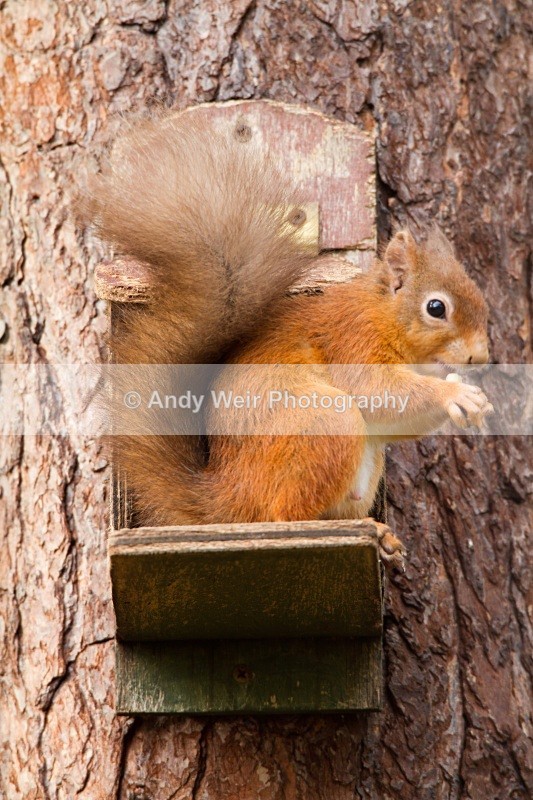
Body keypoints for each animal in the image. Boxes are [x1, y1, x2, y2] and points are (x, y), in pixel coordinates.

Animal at [80, 109, 493, 556]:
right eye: (436, 308)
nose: (481, 358)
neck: (384, 314)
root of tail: (230, 497)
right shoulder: (353, 339)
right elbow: (376, 390)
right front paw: (455, 394)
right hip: (323, 425)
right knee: (287, 515)